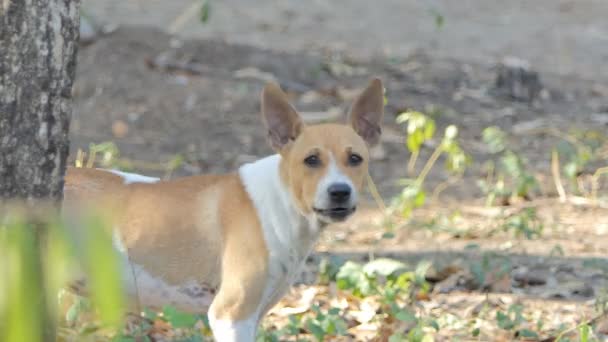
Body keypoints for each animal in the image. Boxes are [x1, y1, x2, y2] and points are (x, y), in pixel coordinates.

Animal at [61, 78, 384, 342]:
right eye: (311, 160)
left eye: (355, 159)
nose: (339, 191)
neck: (281, 204)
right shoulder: (230, 315)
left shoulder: (254, 315)